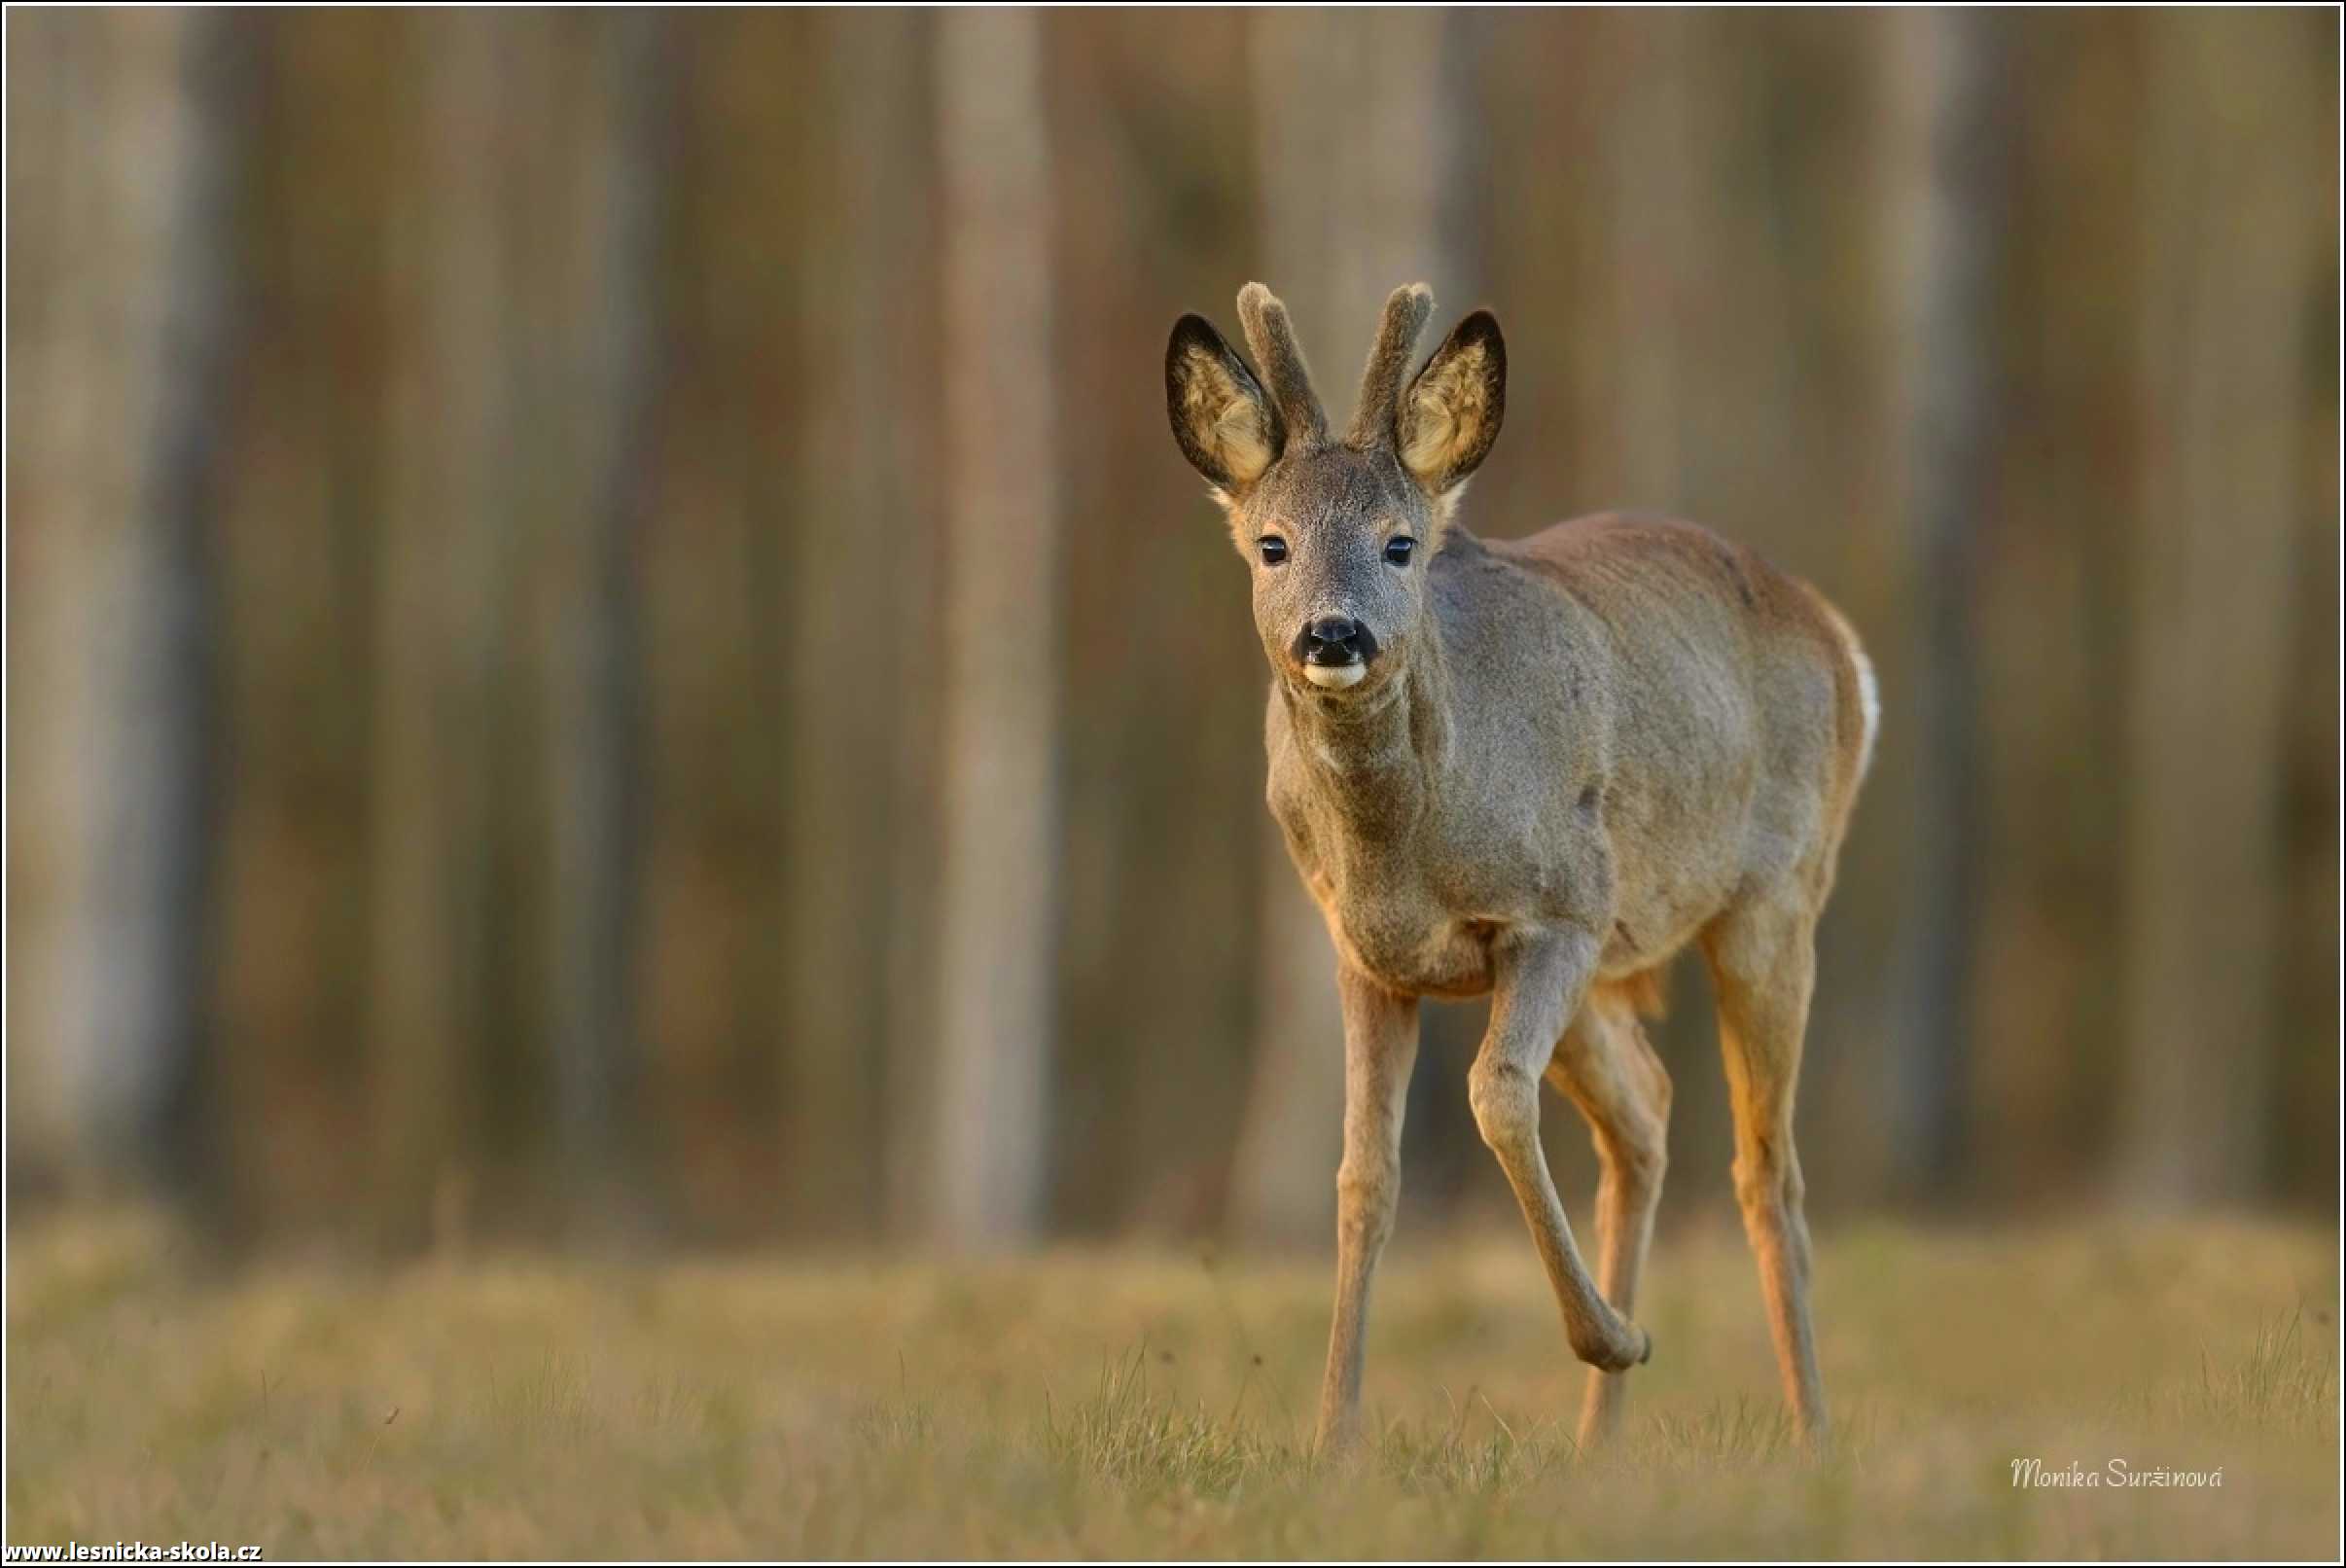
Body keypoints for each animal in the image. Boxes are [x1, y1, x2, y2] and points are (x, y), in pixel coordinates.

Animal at [1163, 281, 1876, 1455]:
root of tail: (1836, 635)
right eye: (1272, 544)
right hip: (1618, 968)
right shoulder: (1364, 954)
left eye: (1400, 544)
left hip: (1773, 898)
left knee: (1768, 1166)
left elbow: (1496, 1097)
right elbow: (1365, 1176)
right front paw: (1333, 1439)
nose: (1332, 633)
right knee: (1647, 1118)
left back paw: (1809, 1433)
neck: (1406, 848)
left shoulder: (1559, 910)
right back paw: (1598, 1448)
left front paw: (1615, 1338)